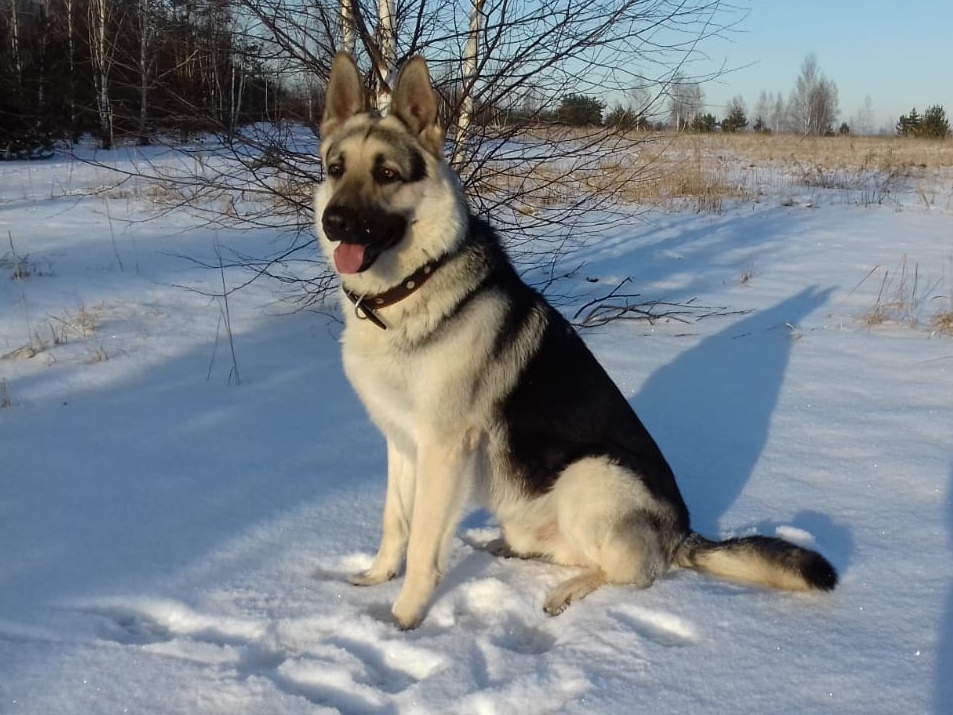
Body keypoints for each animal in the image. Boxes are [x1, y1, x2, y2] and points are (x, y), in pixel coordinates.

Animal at [314, 51, 832, 632]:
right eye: (336, 169)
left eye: (387, 174)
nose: (335, 223)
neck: (410, 288)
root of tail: (681, 536)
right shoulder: (402, 442)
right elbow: (394, 521)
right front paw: (376, 577)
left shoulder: (442, 449)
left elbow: (424, 541)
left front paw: (403, 617)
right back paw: (511, 552)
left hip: (589, 473)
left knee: (628, 572)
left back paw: (565, 591)